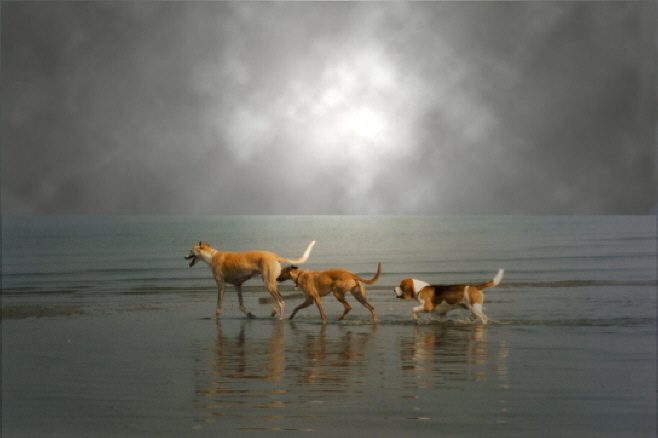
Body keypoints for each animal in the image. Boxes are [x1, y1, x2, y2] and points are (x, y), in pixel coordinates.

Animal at [184, 240, 316, 318]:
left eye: (191, 250)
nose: (184, 257)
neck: (212, 256)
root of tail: (275, 256)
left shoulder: (221, 285)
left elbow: (218, 305)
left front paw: (214, 317)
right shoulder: (238, 285)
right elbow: (241, 305)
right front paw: (248, 314)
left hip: (268, 283)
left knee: (281, 302)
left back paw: (280, 318)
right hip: (272, 282)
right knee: (279, 298)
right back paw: (273, 311)